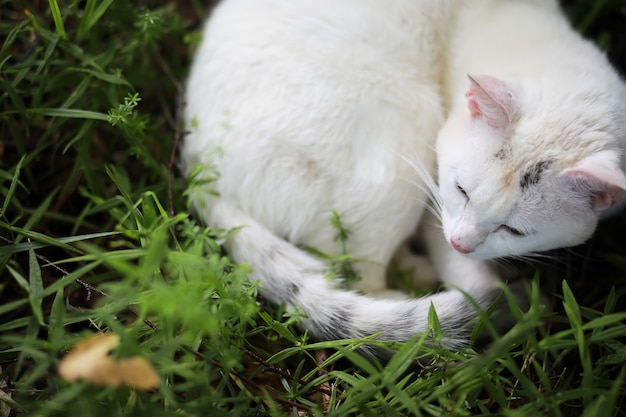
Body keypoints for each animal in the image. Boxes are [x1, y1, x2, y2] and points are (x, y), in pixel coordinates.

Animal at [180, 0, 624, 352]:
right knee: (362, 277)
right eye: (460, 189)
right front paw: (500, 300)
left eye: (516, 230)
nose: (461, 243)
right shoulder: (437, 207)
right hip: (404, 141)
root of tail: (201, 168)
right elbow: (470, 282)